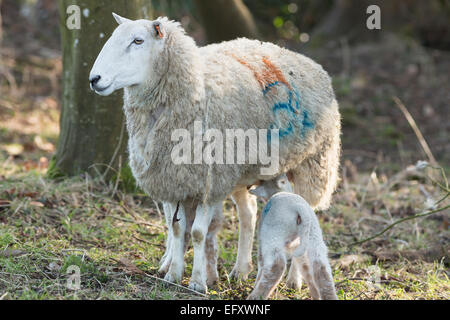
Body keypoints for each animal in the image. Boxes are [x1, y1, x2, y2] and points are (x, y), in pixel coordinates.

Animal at [89, 13, 342, 292]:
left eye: (138, 40)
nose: (94, 79)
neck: (195, 92)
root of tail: (309, 62)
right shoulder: (171, 179)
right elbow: (177, 230)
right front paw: (173, 275)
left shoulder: (208, 184)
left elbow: (198, 232)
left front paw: (198, 281)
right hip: (241, 172)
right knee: (248, 213)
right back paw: (240, 270)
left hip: (312, 164)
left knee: (303, 217)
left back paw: (293, 280)